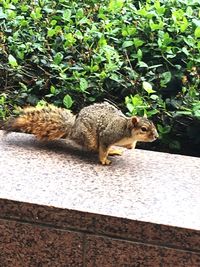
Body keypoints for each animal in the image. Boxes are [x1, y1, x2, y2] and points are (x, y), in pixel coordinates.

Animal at [2, 102, 159, 165]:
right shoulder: (109, 135)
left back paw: (113, 150)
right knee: (94, 147)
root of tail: (73, 128)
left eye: (153, 125)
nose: (156, 136)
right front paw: (103, 160)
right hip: (89, 138)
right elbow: (103, 147)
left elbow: (130, 147)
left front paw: (131, 146)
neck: (126, 130)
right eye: (144, 129)